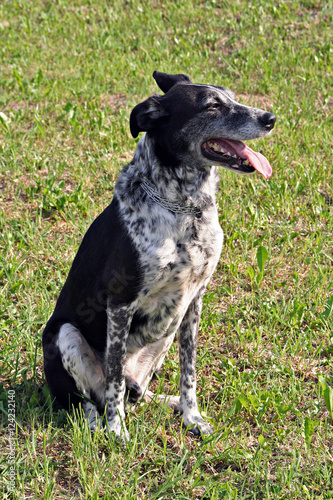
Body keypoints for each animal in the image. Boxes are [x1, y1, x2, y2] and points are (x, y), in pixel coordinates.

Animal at [42, 71, 274, 442]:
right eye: (211, 105)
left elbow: (188, 372)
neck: (186, 208)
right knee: (88, 400)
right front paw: (116, 428)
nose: (270, 118)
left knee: (138, 392)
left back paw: (168, 402)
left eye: (232, 97)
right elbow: (114, 380)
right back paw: (98, 423)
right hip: (64, 334)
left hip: (165, 336)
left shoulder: (194, 300)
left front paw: (192, 416)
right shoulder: (120, 303)